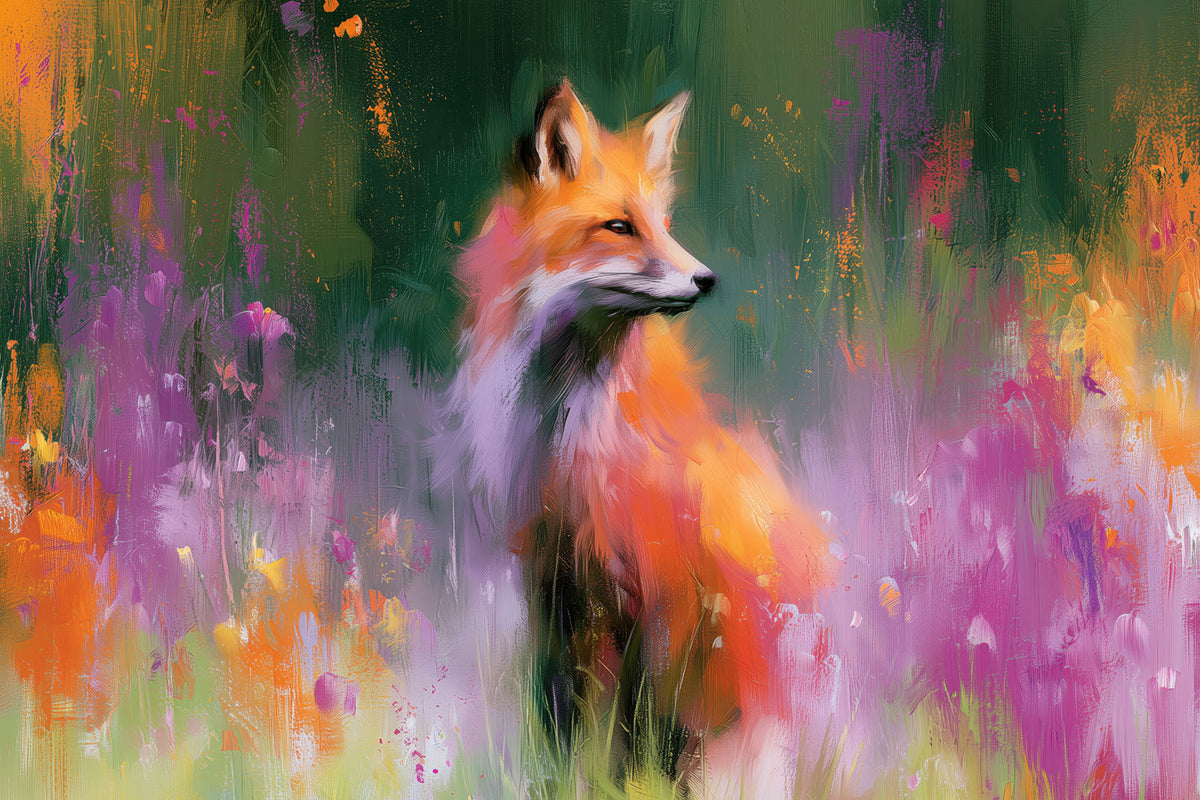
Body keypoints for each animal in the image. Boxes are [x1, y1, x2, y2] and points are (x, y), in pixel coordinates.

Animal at [449, 81, 831, 783]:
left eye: (664, 226)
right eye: (620, 226)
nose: (707, 279)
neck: (570, 437)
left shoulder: (656, 593)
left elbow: (637, 726)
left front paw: (626, 783)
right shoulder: (555, 586)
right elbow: (562, 722)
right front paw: (565, 782)